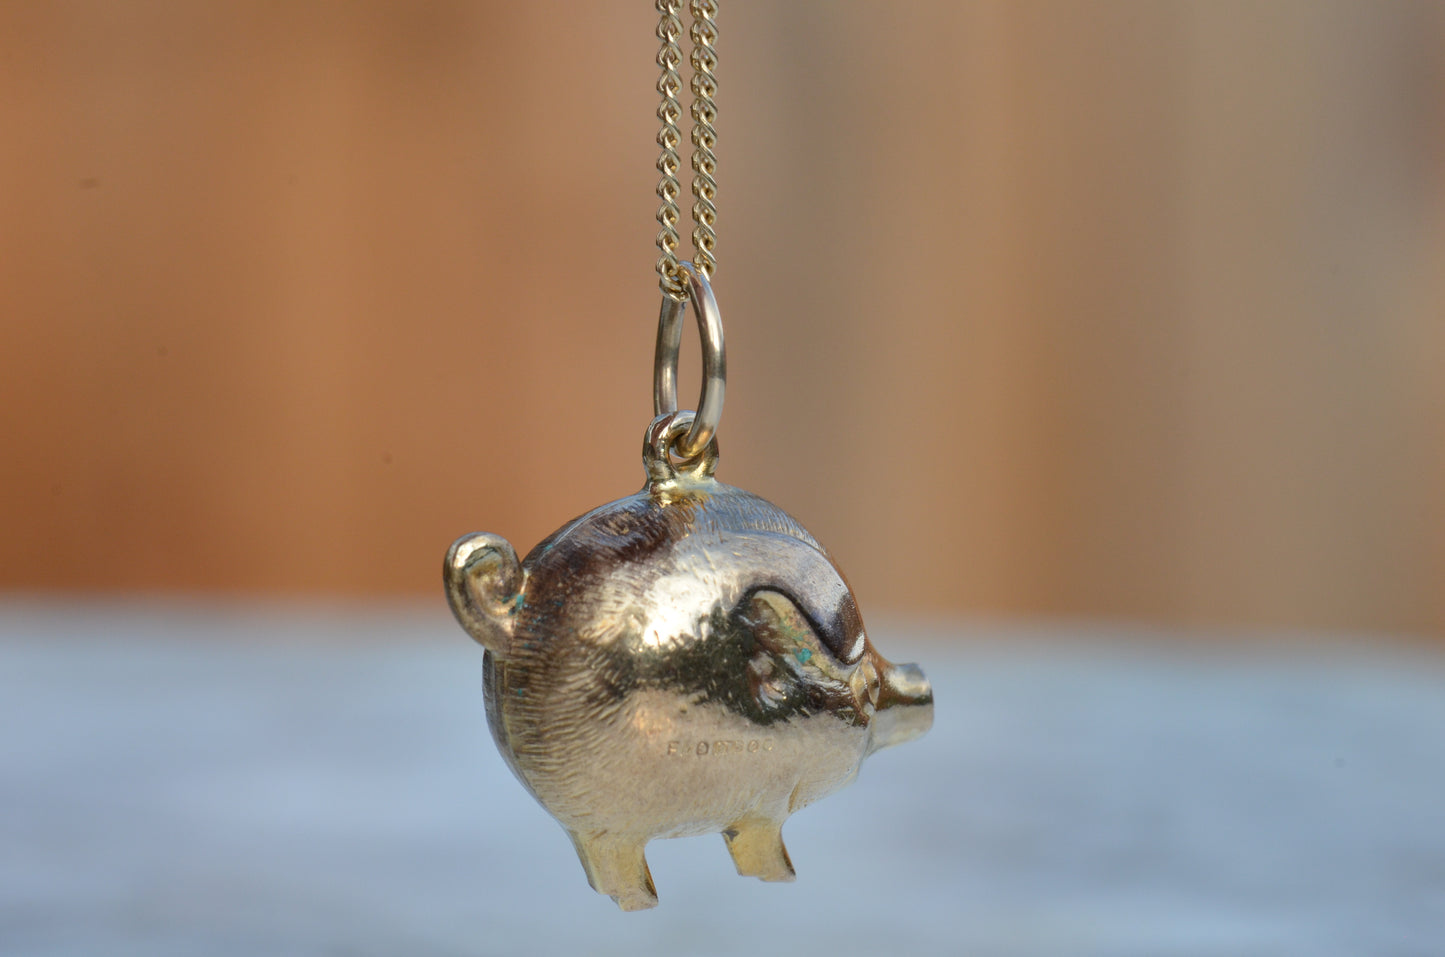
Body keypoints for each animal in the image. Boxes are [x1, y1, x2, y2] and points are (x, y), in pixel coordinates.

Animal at [445, 455, 933, 911]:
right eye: (869, 691)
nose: (921, 687)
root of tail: (518, 615)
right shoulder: (765, 809)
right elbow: (765, 849)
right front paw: (780, 877)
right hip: (601, 820)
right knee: (617, 869)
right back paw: (641, 902)